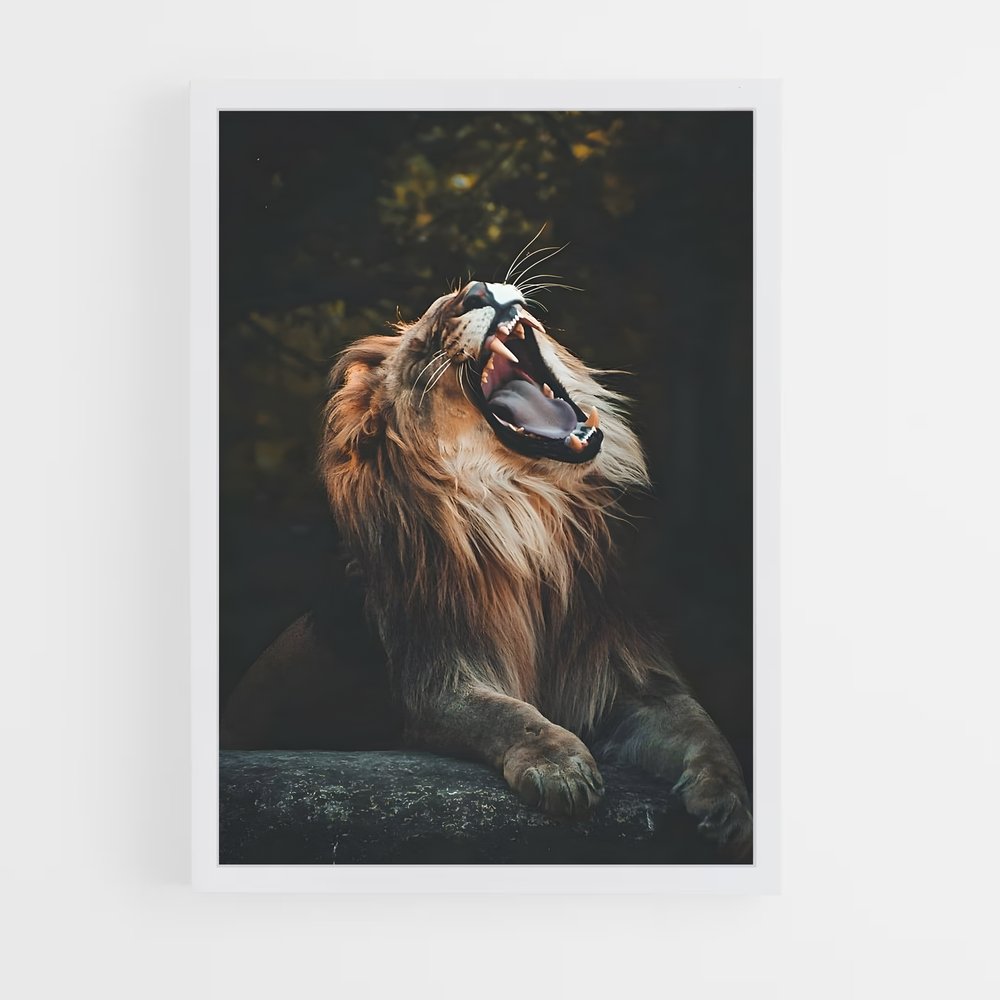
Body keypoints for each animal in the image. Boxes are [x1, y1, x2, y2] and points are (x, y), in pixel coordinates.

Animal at [223, 272, 752, 855]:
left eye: (460, 293)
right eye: (428, 338)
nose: (477, 291)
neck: (528, 510)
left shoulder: (627, 671)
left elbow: (701, 726)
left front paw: (730, 804)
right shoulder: (438, 681)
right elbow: (509, 715)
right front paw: (561, 768)